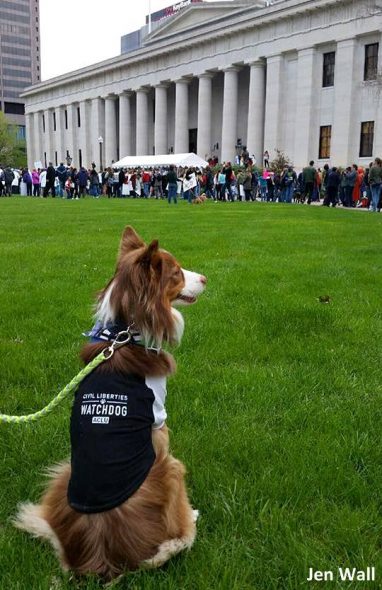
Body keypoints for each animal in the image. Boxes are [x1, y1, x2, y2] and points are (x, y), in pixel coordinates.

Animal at [14, 227, 206, 584]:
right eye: (175, 273)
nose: (205, 278)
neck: (124, 332)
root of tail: (101, 561)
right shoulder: (159, 421)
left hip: (64, 473)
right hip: (172, 468)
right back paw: (188, 524)